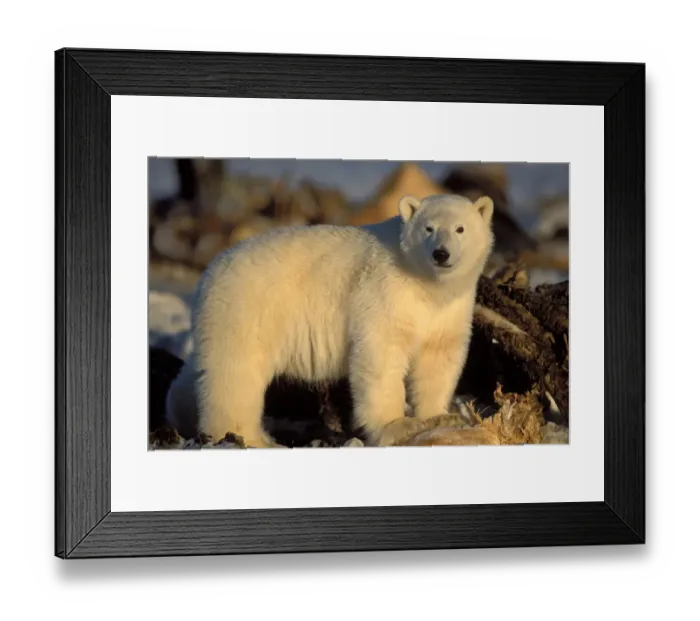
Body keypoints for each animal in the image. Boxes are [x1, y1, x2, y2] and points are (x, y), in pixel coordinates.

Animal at [165, 193, 495, 448]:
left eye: (460, 228)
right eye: (428, 228)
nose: (441, 254)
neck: (426, 285)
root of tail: (208, 273)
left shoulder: (449, 310)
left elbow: (437, 359)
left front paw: (440, 416)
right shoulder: (385, 292)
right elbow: (382, 356)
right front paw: (397, 424)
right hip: (247, 311)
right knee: (235, 375)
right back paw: (252, 438)